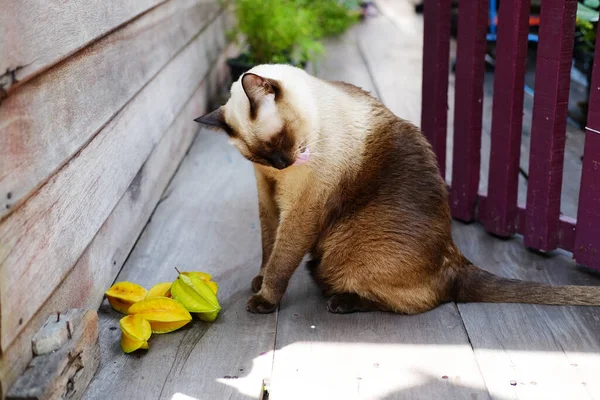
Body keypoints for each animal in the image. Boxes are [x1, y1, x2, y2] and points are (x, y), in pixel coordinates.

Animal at [195, 65, 596, 316]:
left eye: (282, 140)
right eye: (259, 156)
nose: (283, 163)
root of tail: (456, 257)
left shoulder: (301, 210)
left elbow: (281, 259)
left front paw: (264, 298)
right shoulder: (268, 199)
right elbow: (268, 247)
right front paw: (259, 280)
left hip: (345, 250)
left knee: (421, 301)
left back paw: (341, 301)